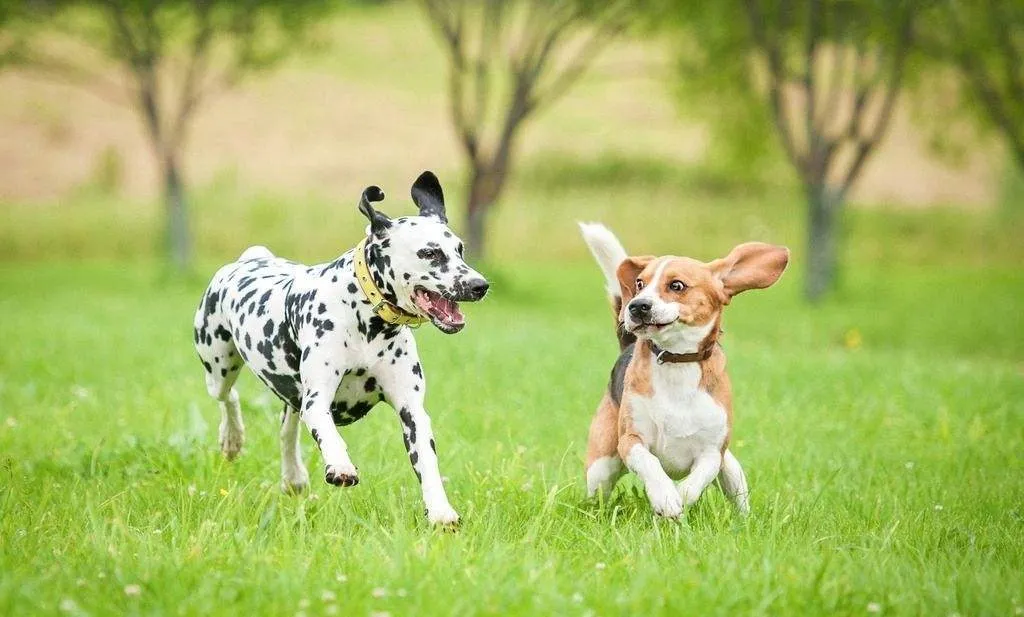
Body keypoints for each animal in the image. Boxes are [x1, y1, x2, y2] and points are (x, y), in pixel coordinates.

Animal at [196, 172, 491, 527]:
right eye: (431, 253)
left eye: (460, 249)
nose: (480, 285)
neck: (367, 322)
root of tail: (250, 259)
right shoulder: (317, 399)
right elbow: (328, 433)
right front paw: (340, 466)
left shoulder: (412, 410)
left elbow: (428, 465)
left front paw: (440, 511)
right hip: (219, 369)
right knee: (230, 399)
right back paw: (232, 439)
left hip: (288, 393)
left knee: (286, 427)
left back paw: (293, 476)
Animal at [581, 222, 786, 515]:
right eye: (640, 283)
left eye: (676, 285)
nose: (636, 306)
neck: (676, 360)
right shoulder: (631, 440)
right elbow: (650, 463)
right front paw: (665, 497)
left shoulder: (712, 451)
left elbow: (697, 479)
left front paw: (679, 498)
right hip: (601, 466)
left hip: (732, 469)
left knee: (737, 495)